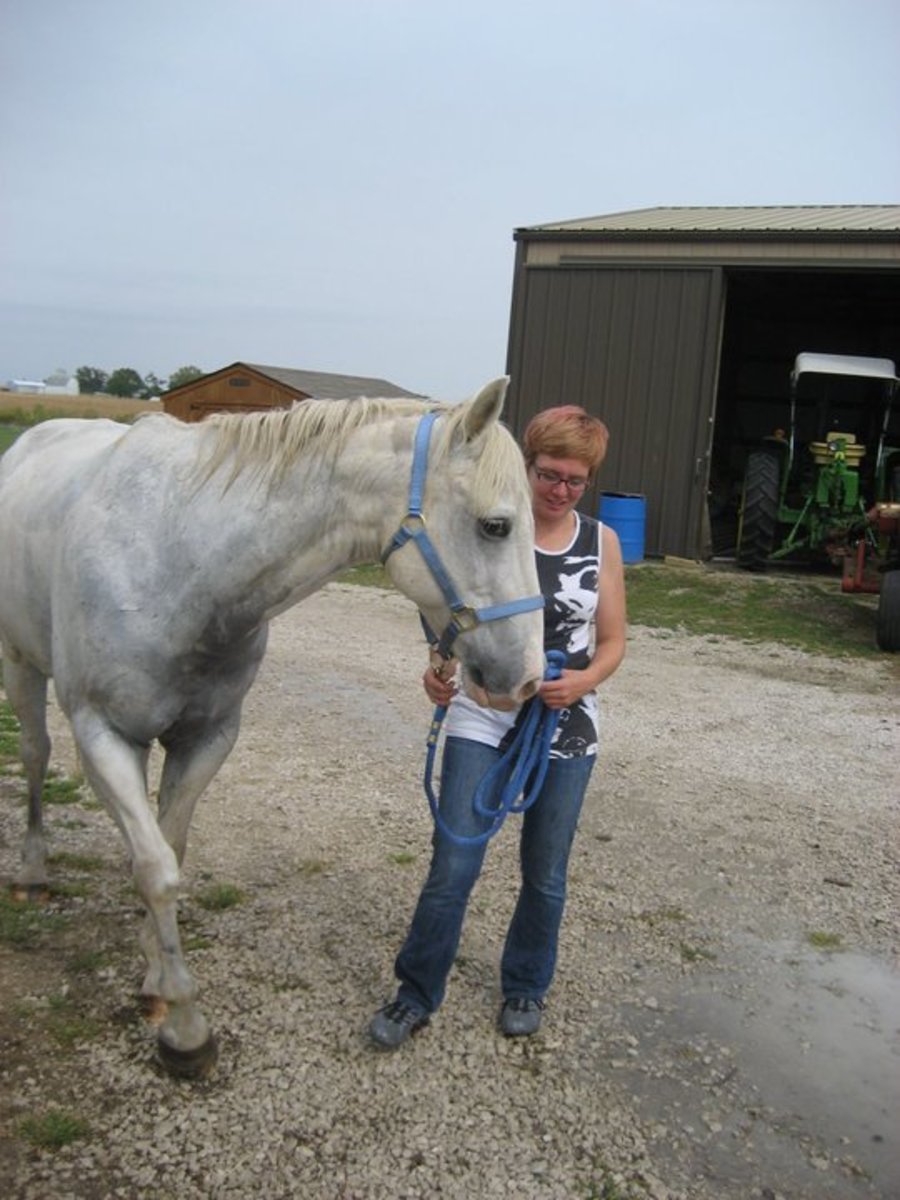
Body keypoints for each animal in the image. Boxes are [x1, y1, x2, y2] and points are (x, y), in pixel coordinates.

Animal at [0, 377, 544, 1076]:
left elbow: (168, 850)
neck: (182, 559)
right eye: (495, 525)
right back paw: (32, 874)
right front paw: (185, 1030)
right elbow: (157, 870)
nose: (530, 678)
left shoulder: (207, 737)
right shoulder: (100, 733)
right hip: (20, 666)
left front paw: (155, 973)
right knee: (35, 755)